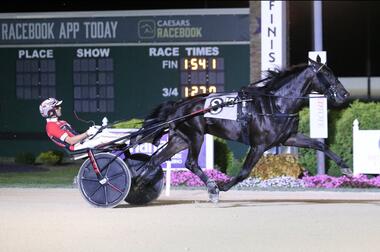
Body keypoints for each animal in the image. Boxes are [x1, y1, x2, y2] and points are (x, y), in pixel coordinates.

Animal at [139, 59, 350, 203]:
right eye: (328, 74)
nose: (345, 95)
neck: (276, 104)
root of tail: (178, 105)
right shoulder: (259, 145)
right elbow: (244, 172)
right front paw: (221, 186)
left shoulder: (288, 138)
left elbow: (319, 144)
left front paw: (345, 168)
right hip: (196, 136)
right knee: (190, 163)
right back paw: (212, 187)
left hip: (180, 140)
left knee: (154, 161)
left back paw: (141, 184)